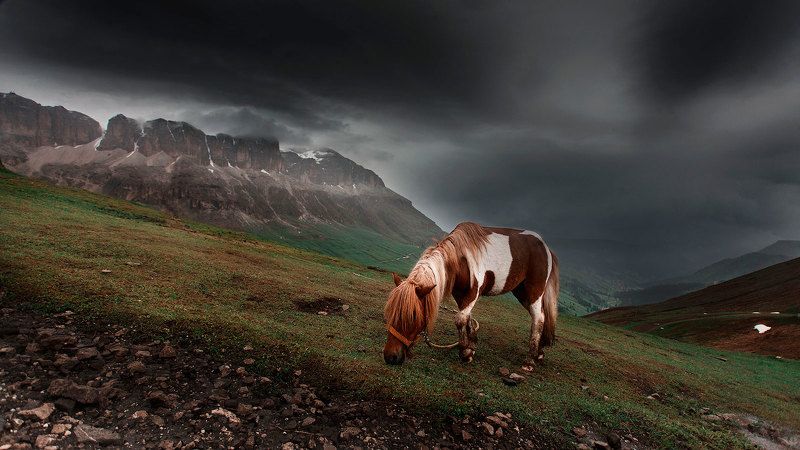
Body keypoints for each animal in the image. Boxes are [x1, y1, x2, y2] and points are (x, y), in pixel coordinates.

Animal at [383, 222, 559, 370]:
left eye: (413, 316)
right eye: (390, 312)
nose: (390, 357)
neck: (460, 259)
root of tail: (546, 248)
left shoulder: (473, 292)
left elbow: (460, 319)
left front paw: (465, 352)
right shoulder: (460, 294)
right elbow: (466, 318)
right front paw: (471, 346)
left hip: (534, 291)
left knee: (539, 319)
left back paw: (530, 360)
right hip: (521, 292)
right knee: (542, 317)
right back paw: (539, 353)